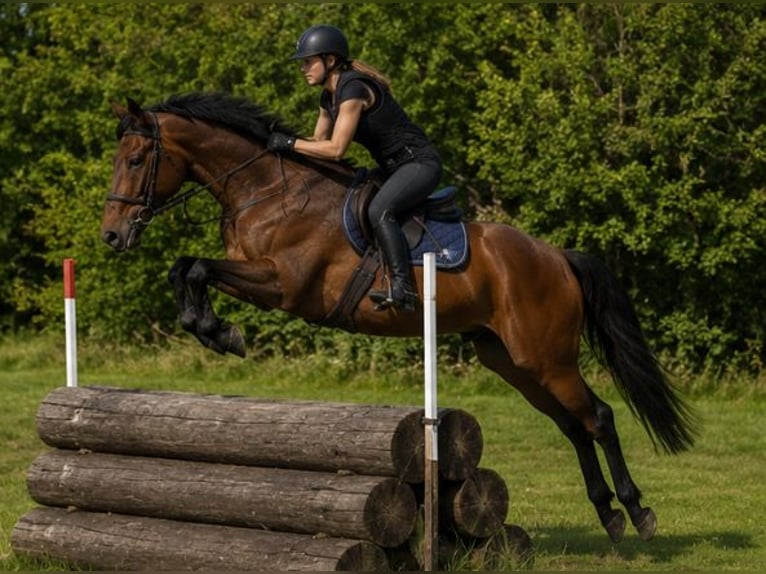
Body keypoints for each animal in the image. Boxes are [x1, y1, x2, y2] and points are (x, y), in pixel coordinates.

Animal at [101, 92, 696, 544]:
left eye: (135, 161)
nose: (112, 235)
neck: (268, 190)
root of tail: (556, 256)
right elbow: (185, 268)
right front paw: (210, 328)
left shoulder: (284, 286)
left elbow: (197, 267)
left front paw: (221, 332)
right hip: (512, 362)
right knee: (573, 425)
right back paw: (608, 514)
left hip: (547, 358)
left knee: (599, 417)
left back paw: (636, 512)